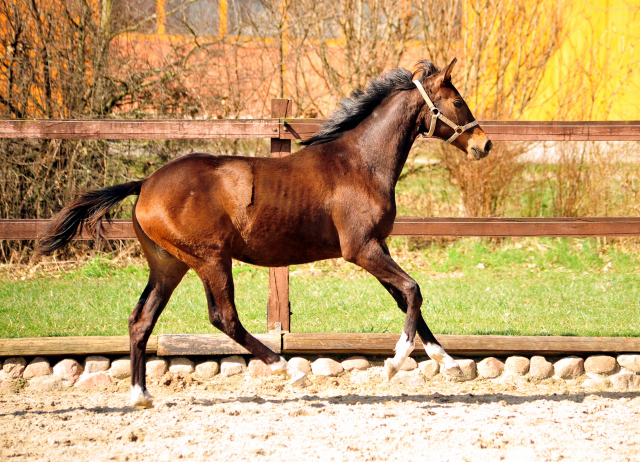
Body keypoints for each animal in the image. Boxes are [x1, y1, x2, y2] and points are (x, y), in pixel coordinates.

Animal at [37, 56, 492, 404]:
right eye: (457, 100)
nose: (484, 145)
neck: (361, 163)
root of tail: (145, 183)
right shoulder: (362, 248)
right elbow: (413, 290)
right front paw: (395, 363)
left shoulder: (376, 247)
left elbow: (405, 298)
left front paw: (449, 362)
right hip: (210, 259)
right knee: (223, 317)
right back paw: (290, 369)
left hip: (168, 265)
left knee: (141, 320)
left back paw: (141, 395)